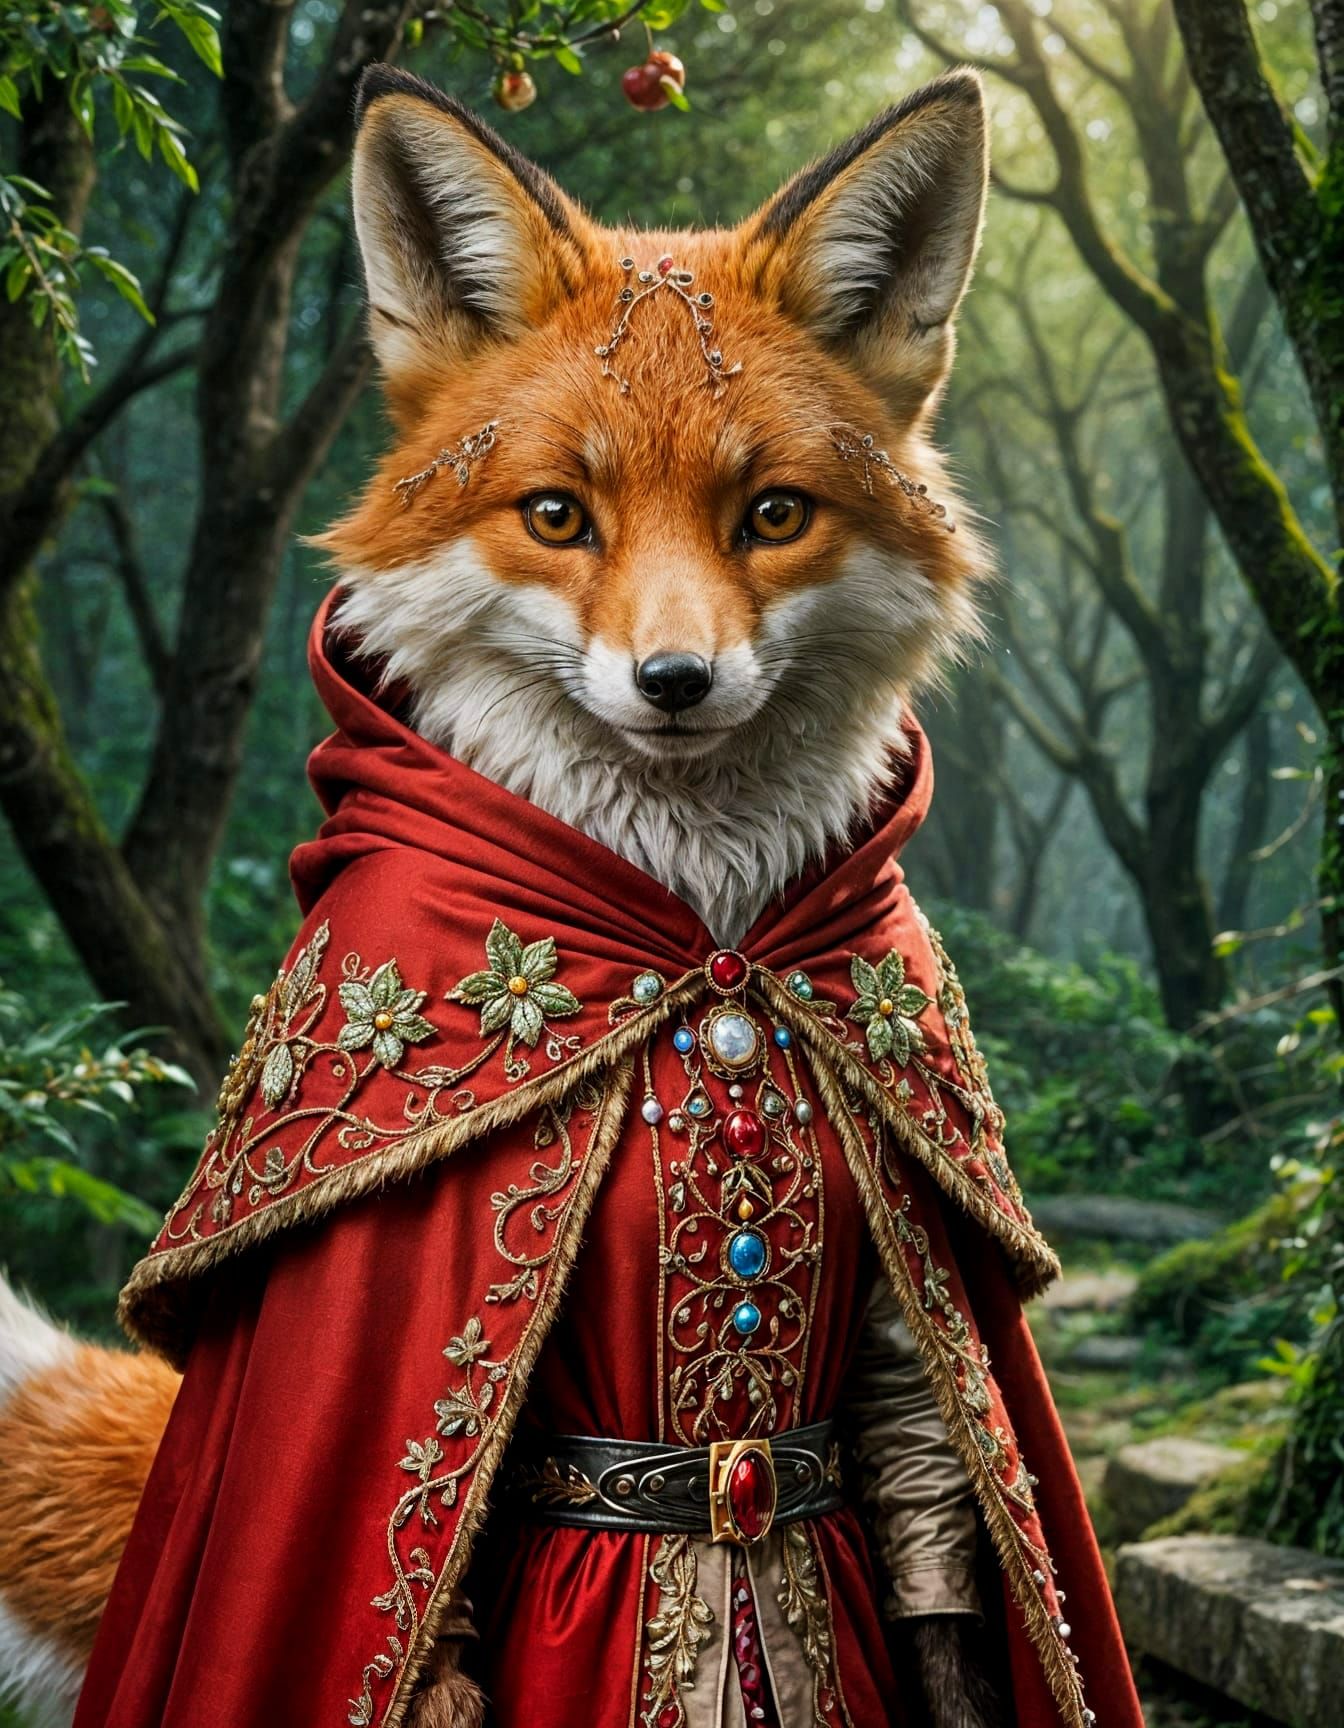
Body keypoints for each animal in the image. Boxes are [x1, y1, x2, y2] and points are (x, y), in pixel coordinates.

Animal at [0, 64, 1001, 1728]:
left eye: (772, 515)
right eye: (557, 516)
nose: (676, 681)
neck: (703, 949)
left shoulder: (894, 1121)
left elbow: (932, 1450)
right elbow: (438, 1613)